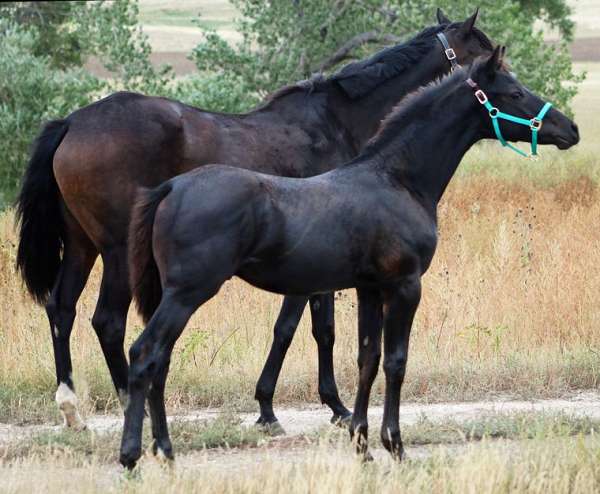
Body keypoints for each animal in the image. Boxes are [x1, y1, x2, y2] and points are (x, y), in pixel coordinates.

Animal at [16, 10, 492, 428]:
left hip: (82, 246)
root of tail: (72, 122)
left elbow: (310, 328)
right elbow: (305, 328)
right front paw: (304, 406)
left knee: (61, 308)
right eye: (482, 50)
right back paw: (130, 406)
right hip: (116, 252)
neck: (336, 122)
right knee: (108, 322)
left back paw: (72, 411)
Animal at [117, 48, 576, 468]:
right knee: (144, 354)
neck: (396, 180)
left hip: (176, 295)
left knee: (160, 361)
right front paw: (395, 446)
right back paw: (132, 456)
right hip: (187, 293)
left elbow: (366, 359)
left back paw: (165, 451)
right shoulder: (404, 286)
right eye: (514, 92)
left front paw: (362, 445)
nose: (570, 129)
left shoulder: (368, 289)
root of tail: (172, 188)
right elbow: (395, 362)